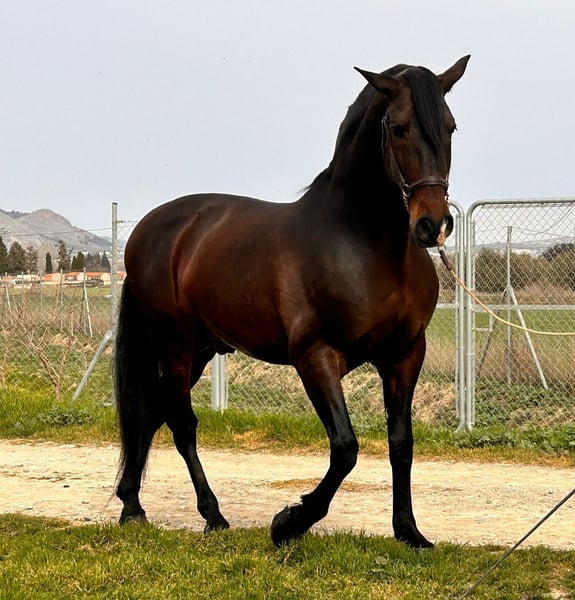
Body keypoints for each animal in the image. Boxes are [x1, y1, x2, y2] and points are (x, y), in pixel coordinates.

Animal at [114, 55, 470, 548]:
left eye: (451, 127)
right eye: (398, 129)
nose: (432, 225)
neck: (365, 243)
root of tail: (147, 230)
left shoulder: (404, 355)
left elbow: (401, 443)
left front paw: (408, 531)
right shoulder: (315, 356)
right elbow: (345, 448)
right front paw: (290, 522)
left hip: (201, 347)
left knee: (151, 412)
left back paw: (132, 505)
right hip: (175, 345)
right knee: (181, 423)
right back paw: (211, 515)